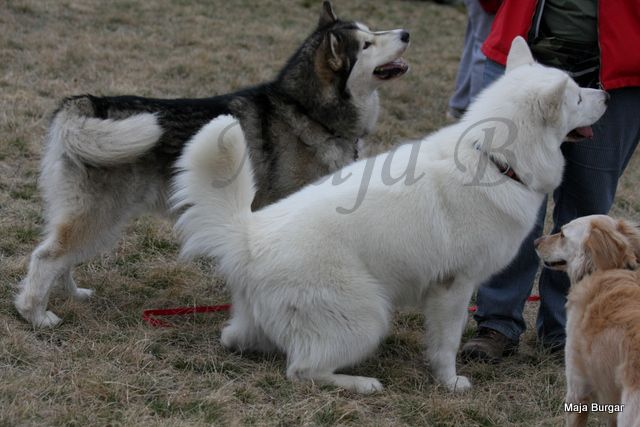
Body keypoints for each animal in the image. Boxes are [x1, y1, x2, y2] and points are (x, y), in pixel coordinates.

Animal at [16, 0, 416, 328]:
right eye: (366, 45)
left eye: (372, 30)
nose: (406, 33)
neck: (307, 112)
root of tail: (88, 103)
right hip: (100, 215)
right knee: (46, 257)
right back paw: (36, 315)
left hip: (94, 217)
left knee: (60, 256)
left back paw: (71, 295)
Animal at [172, 38, 608, 396]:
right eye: (577, 98)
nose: (605, 94)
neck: (496, 159)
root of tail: (249, 235)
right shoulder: (455, 287)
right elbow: (447, 345)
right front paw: (450, 383)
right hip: (369, 316)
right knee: (301, 370)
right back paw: (362, 383)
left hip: (264, 322)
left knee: (237, 339)